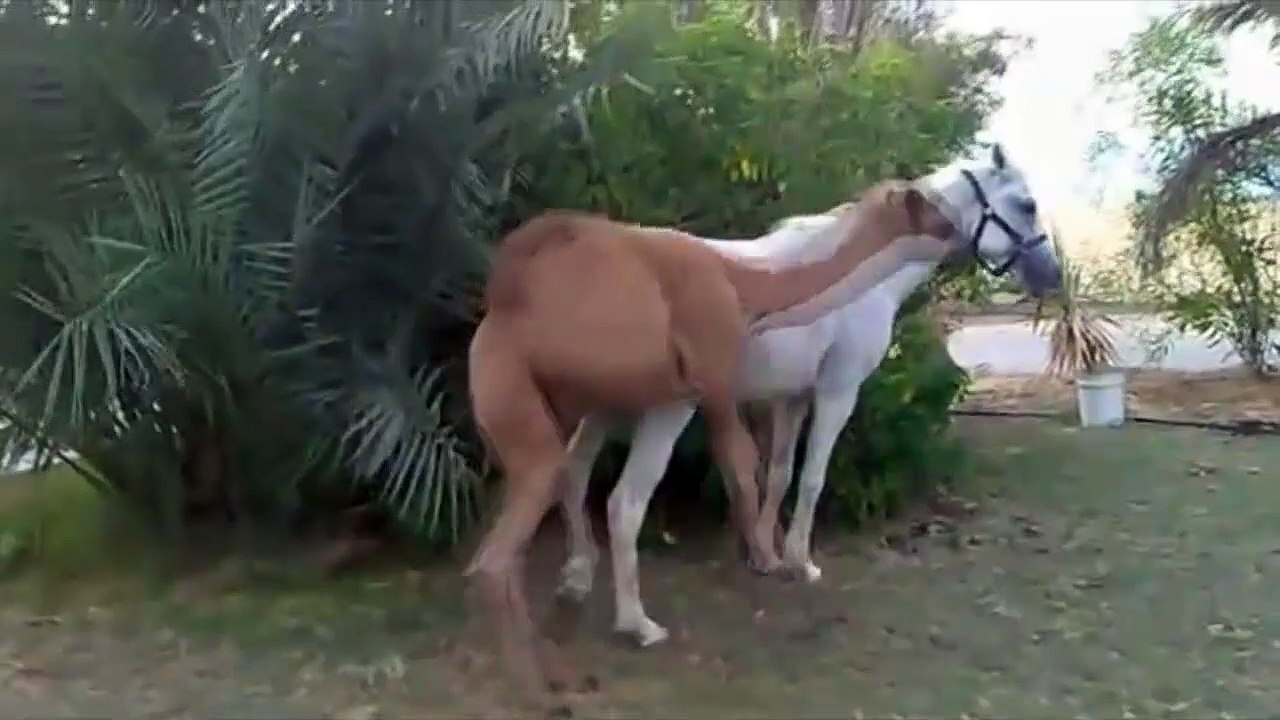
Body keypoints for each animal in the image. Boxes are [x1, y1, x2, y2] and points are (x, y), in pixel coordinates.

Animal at [465, 178, 955, 699]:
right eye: (926, 204)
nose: (954, 230)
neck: (742, 281)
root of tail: (506, 303)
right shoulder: (706, 381)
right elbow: (740, 467)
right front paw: (769, 562)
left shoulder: (662, 398)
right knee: (505, 547)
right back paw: (543, 685)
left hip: (518, 406)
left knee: (526, 512)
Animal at [554, 144, 1063, 647]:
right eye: (1027, 204)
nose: (1053, 274)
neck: (867, 276)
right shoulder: (838, 391)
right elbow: (813, 477)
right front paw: (801, 561)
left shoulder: (792, 397)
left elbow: (778, 474)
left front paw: (767, 555)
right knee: (617, 497)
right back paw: (631, 618)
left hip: (603, 407)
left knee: (574, 472)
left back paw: (578, 575)